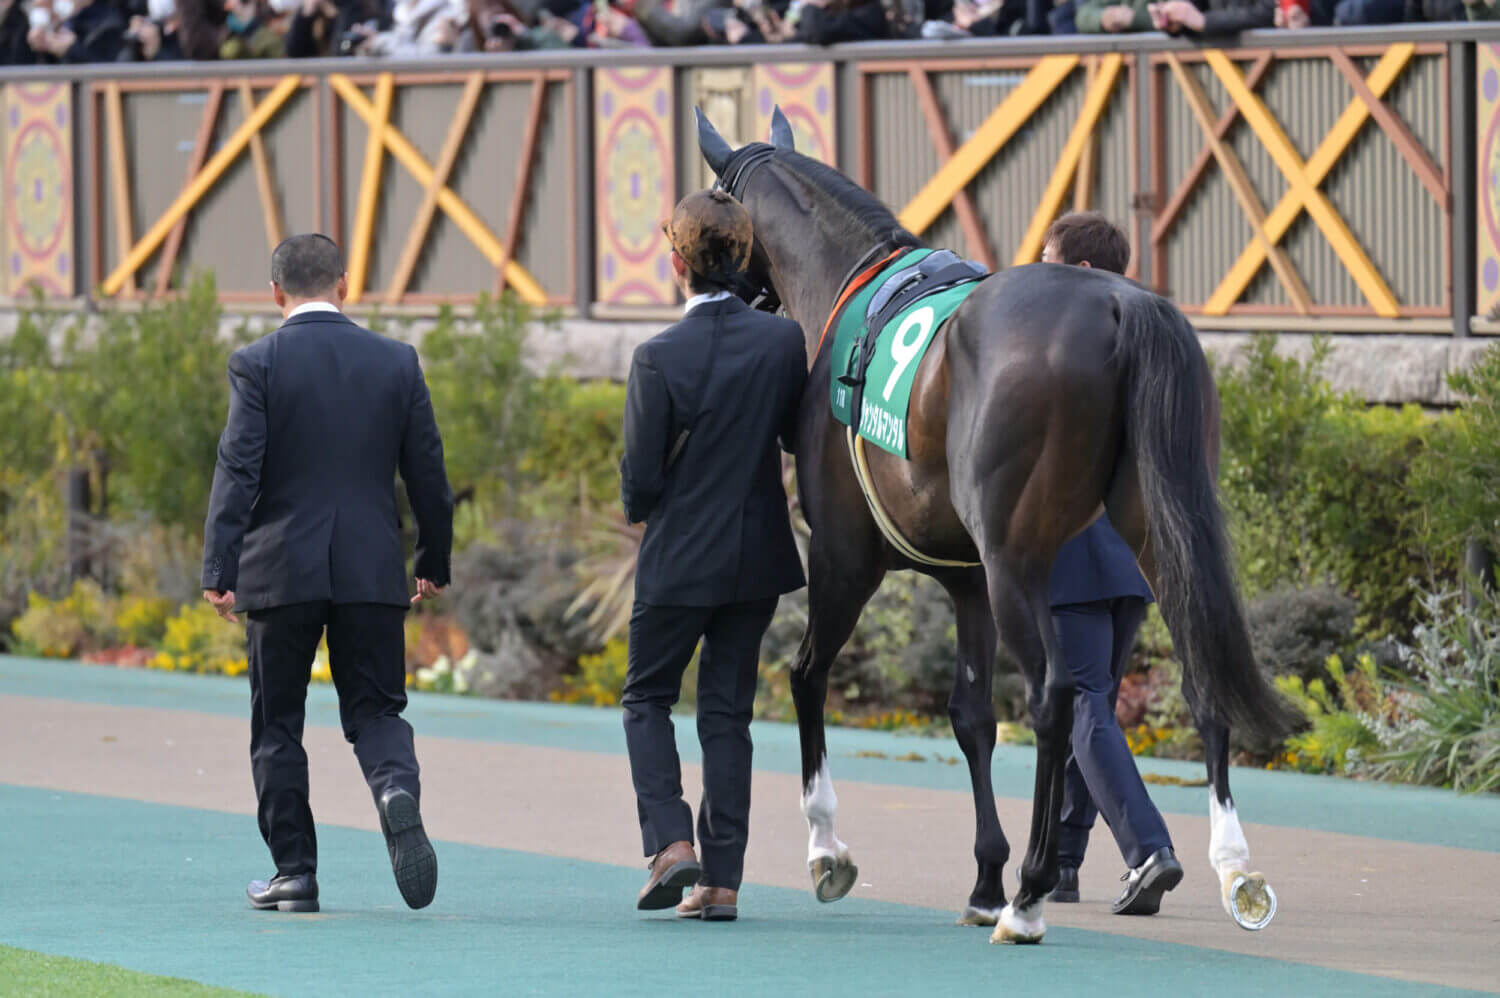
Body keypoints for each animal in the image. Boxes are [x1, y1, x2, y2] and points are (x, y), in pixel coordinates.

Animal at [696, 108, 1296, 942]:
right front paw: (984, 876)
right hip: (1158, 535)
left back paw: (1033, 894)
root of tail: (1123, 306)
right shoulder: (967, 581)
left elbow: (807, 675)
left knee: (1055, 697)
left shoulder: (846, 558)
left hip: (1016, 562)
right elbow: (971, 716)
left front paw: (828, 851)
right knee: (1199, 680)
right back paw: (1233, 868)